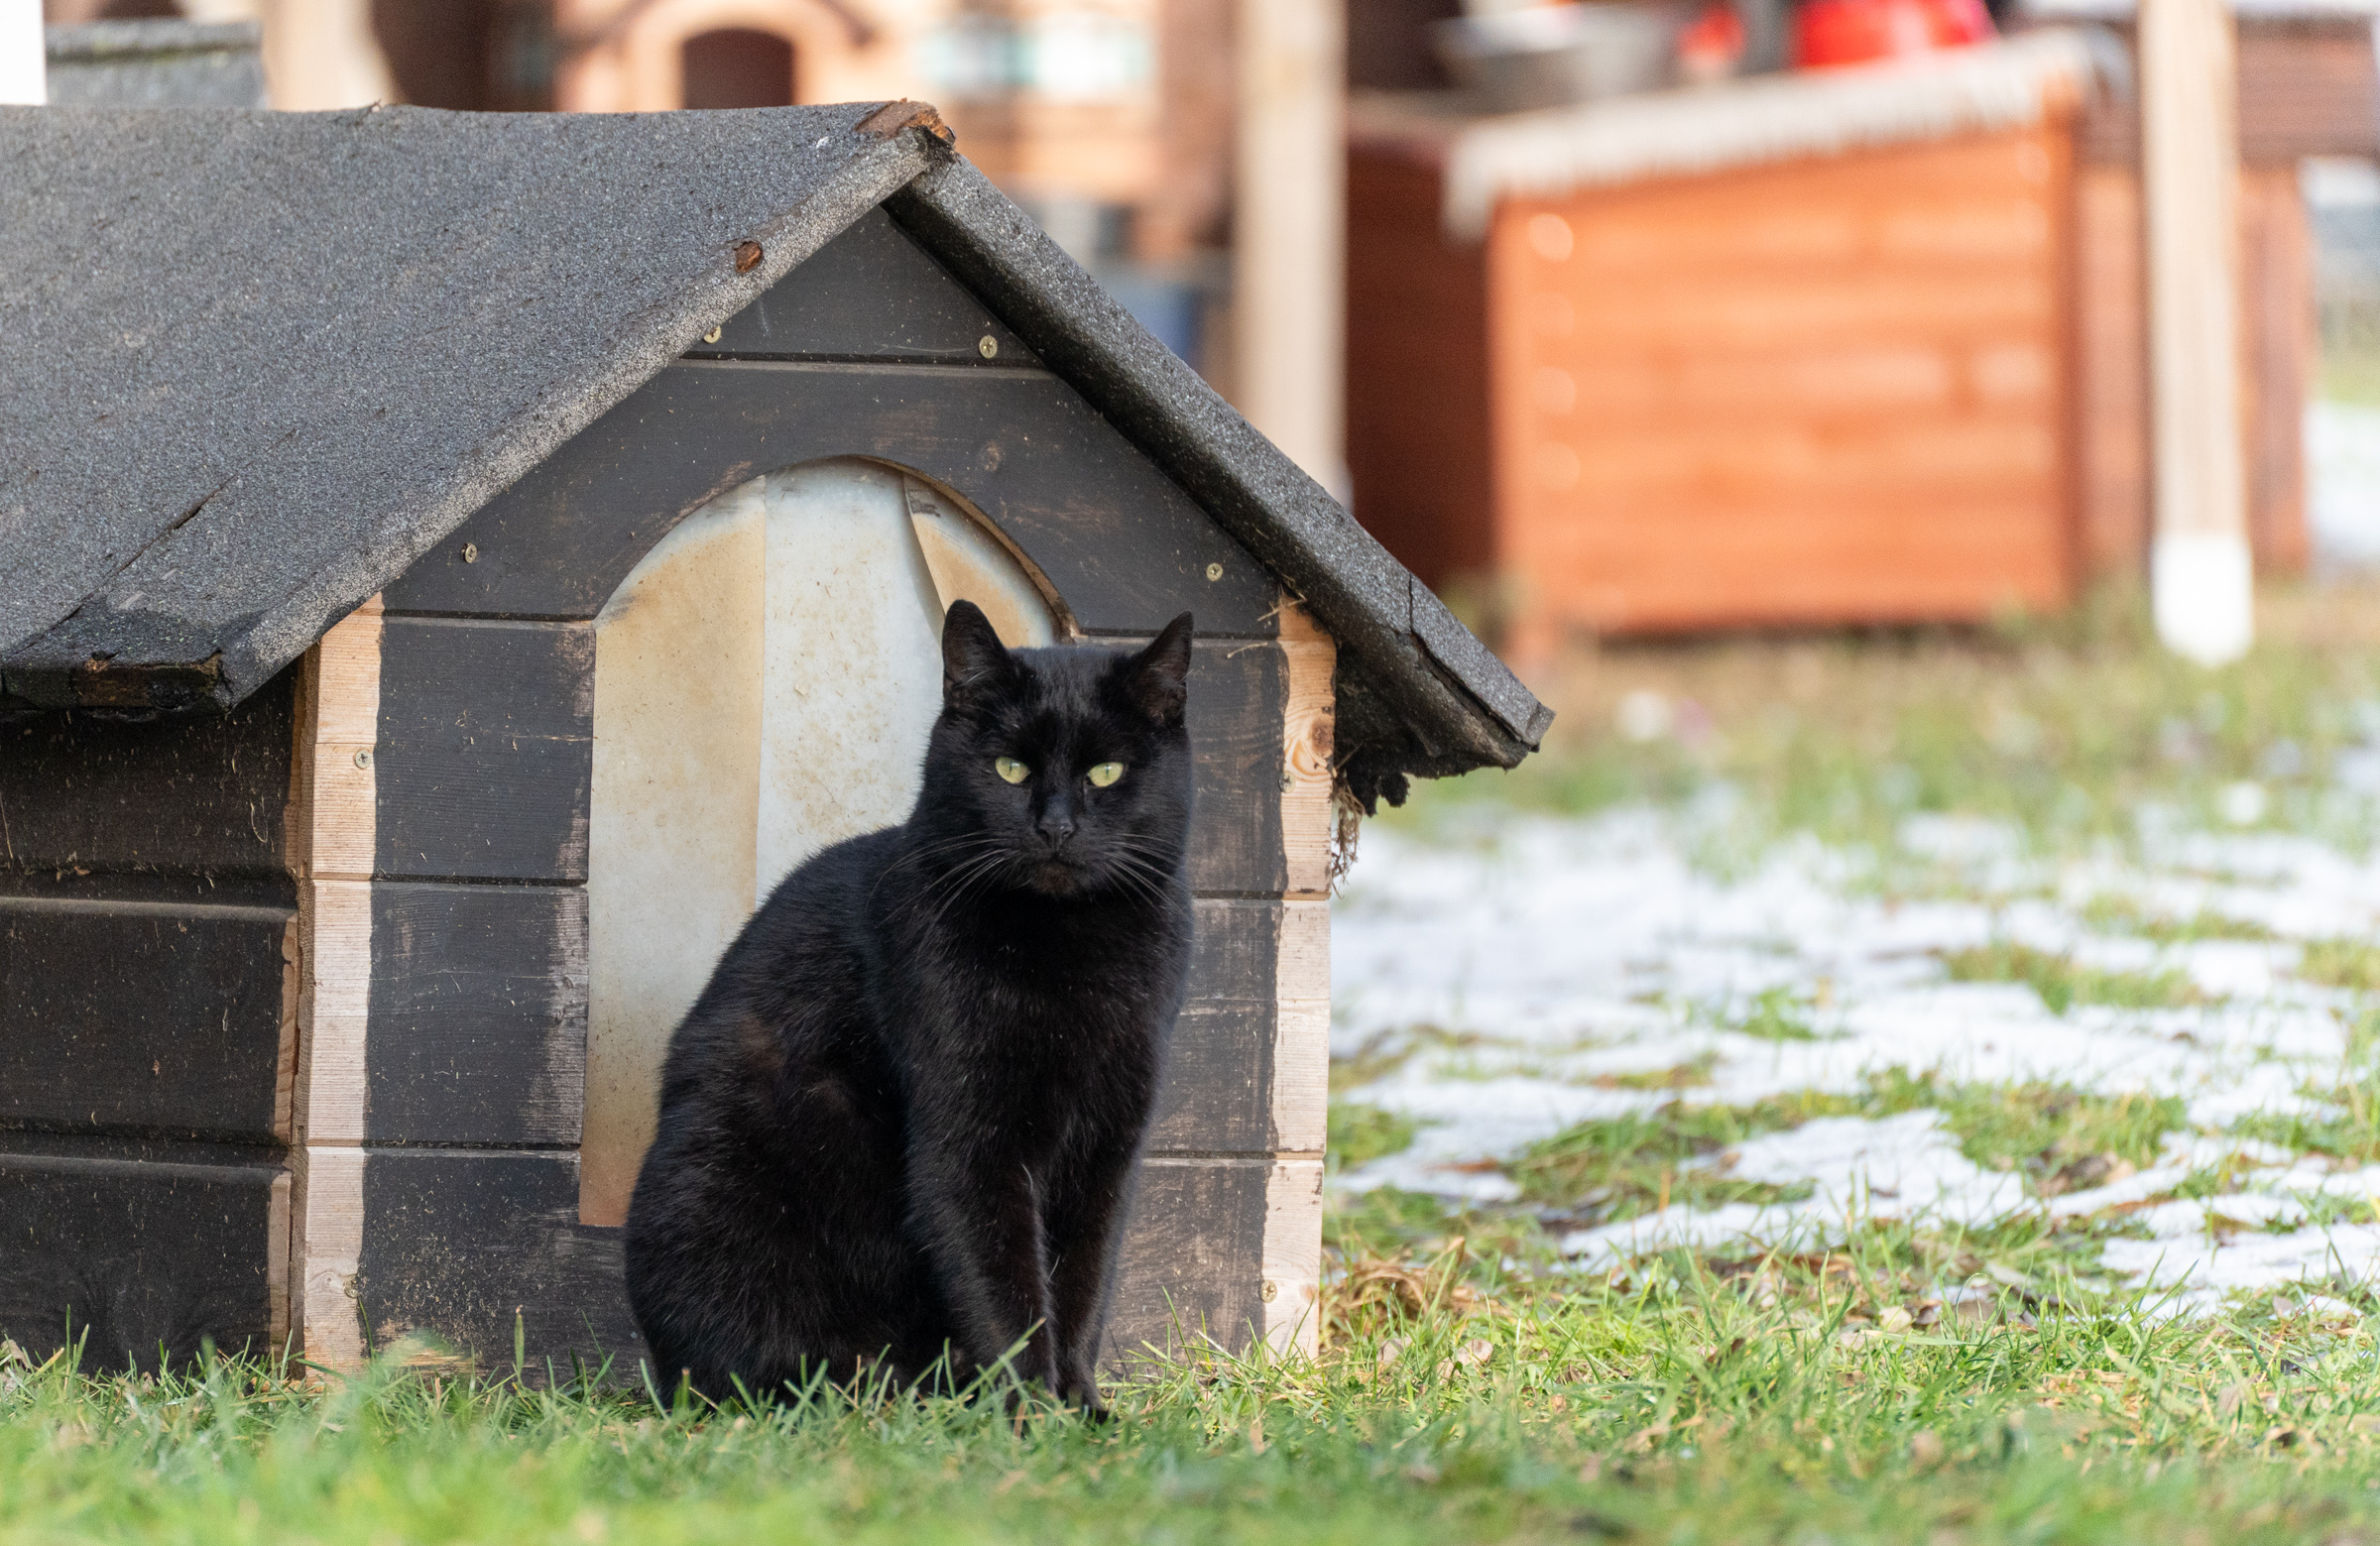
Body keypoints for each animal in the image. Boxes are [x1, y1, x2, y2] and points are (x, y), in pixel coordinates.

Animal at [623, 600, 1197, 1414]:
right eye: (1010, 768)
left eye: (1107, 772)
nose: (1056, 827)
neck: (1068, 953)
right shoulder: (969, 1144)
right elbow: (1005, 1289)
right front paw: (1029, 1412)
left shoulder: (1109, 1144)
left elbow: (1085, 1282)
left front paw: (1081, 1407)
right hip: (712, 1183)